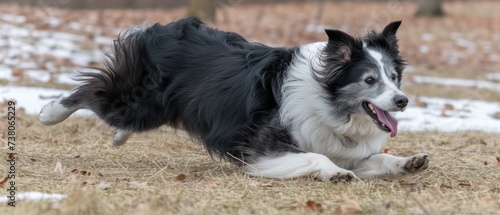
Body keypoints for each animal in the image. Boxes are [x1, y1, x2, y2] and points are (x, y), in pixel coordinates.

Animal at [40, 17, 430, 181]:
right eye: (369, 80)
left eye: (394, 78)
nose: (402, 101)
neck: (329, 101)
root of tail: (165, 28)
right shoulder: (261, 148)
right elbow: (317, 157)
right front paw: (335, 174)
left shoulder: (345, 146)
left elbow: (377, 158)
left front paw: (409, 161)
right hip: (136, 102)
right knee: (91, 91)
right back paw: (50, 112)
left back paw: (118, 137)